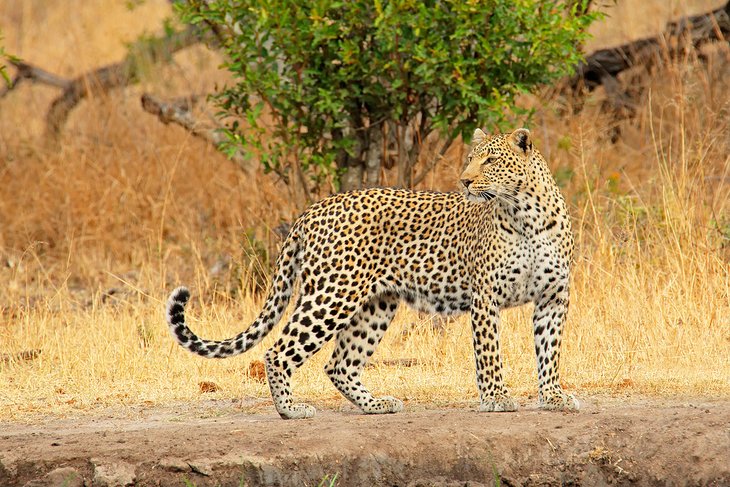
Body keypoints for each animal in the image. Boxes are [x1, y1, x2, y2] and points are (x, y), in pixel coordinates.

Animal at [164, 129, 576, 420]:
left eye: (490, 160)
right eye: (471, 160)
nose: (465, 181)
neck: (527, 215)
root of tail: (312, 210)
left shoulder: (553, 297)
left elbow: (549, 349)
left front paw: (554, 396)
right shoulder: (486, 296)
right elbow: (489, 352)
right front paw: (496, 398)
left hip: (375, 304)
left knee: (340, 364)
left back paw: (375, 405)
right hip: (332, 295)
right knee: (279, 351)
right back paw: (291, 410)